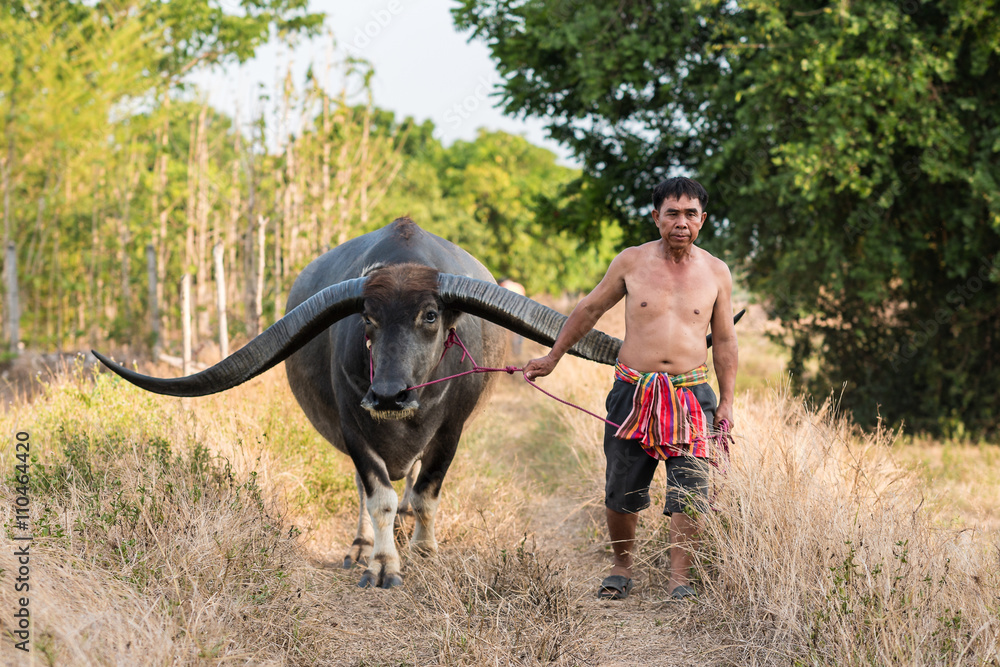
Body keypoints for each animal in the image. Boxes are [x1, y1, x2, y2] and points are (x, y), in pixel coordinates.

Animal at [95, 219, 624, 588]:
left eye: (429, 315)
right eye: (368, 318)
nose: (389, 394)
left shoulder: (451, 429)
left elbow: (426, 492)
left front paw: (424, 551)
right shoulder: (353, 425)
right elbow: (378, 497)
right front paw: (383, 563)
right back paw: (363, 545)